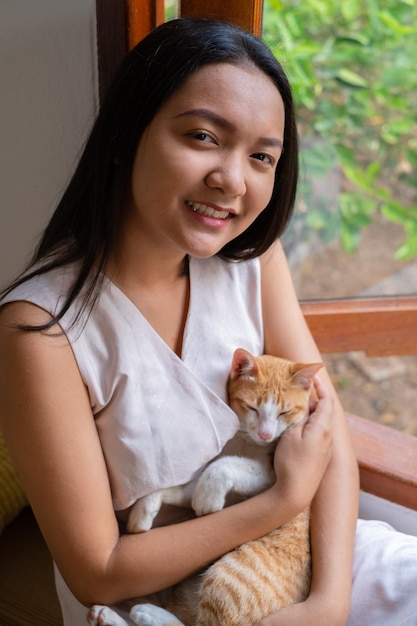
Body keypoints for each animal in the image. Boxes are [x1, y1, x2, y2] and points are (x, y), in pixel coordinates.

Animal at [88, 348, 322, 624]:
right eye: (252, 408)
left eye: (284, 413)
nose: (266, 435)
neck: (246, 441)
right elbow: (183, 487)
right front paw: (143, 511)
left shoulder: (271, 475)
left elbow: (224, 466)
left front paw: (207, 498)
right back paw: (108, 615)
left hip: (228, 577)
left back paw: (143, 613)